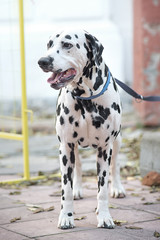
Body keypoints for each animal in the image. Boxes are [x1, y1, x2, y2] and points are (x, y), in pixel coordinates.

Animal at [38, 29, 125, 230]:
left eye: (67, 44)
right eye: (49, 44)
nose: (42, 61)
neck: (85, 97)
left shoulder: (104, 149)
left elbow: (102, 189)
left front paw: (104, 217)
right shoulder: (66, 146)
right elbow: (66, 189)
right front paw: (66, 217)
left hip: (117, 142)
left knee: (115, 165)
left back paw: (117, 188)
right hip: (72, 149)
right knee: (77, 167)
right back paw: (77, 189)